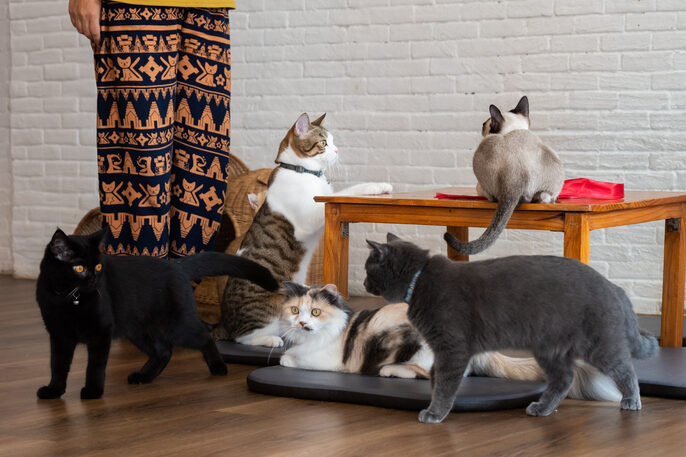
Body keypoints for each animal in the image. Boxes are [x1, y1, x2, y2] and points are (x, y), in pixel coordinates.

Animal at [36, 228, 279, 399]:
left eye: (97, 267)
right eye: (78, 268)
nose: (94, 280)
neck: (69, 298)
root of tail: (177, 265)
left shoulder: (101, 333)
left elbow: (95, 365)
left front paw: (93, 391)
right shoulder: (59, 336)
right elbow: (57, 365)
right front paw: (54, 390)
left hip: (177, 326)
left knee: (204, 337)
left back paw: (218, 367)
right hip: (138, 330)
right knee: (163, 352)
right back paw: (143, 376)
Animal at [214, 112, 392, 347]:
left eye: (333, 141)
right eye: (324, 143)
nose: (337, 150)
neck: (304, 172)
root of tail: (224, 321)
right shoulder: (312, 214)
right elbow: (347, 192)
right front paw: (376, 186)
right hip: (267, 309)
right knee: (243, 337)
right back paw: (272, 339)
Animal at [278, 281, 625, 404]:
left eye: (316, 312)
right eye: (294, 310)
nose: (302, 323)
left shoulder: (326, 360)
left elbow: (292, 358)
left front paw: (284, 357)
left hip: (415, 348)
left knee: (421, 373)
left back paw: (390, 371)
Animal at [363, 233, 658, 423]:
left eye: (368, 269)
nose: (364, 283)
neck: (419, 280)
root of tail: (612, 285)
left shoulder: (452, 348)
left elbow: (446, 383)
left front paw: (435, 413)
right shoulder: (440, 350)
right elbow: (436, 377)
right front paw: (433, 406)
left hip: (597, 343)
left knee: (626, 370)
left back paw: (632, 401)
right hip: (550, 349)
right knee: (564, 378)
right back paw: (542, 408)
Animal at [444, 96, 565, 255]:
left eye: (484, 124)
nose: (481, 125)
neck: (514, 130)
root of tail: (514, 174)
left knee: (490, 195)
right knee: (542, 197)